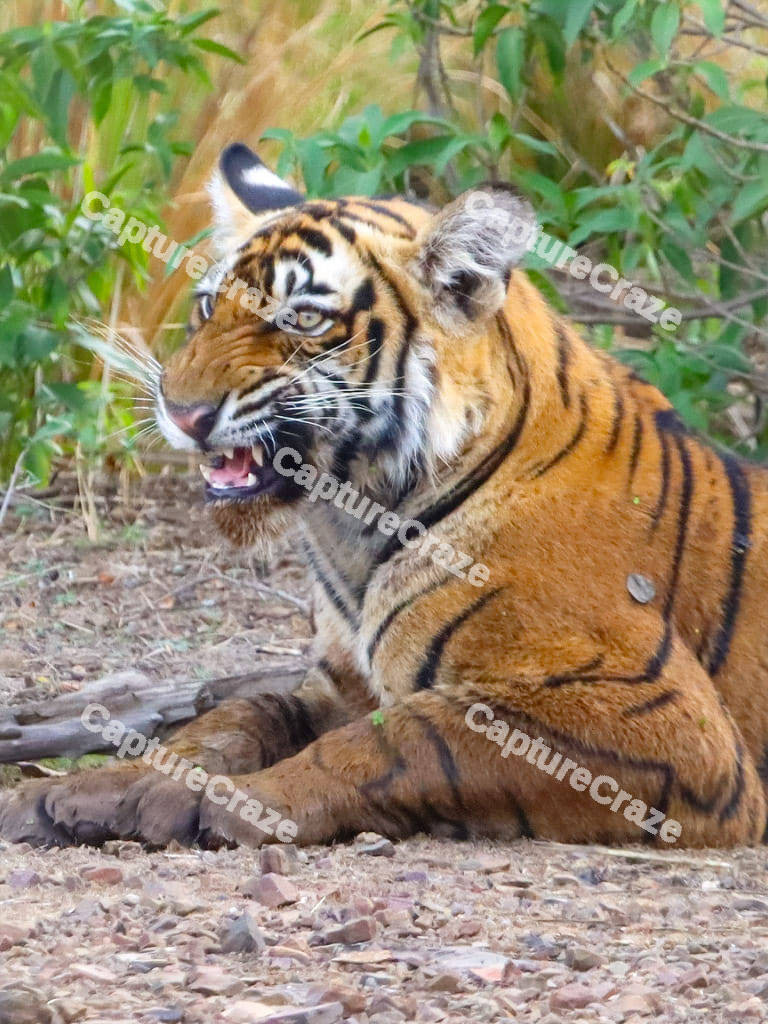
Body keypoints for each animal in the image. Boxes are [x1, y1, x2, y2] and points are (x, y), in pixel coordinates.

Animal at [2, 141, 767, 850]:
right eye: (208, 306)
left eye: (303, 320)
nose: (182, 412)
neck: (353, 522)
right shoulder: (340, 683)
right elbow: (241, 713)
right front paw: (98, 788)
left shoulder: (670, 724)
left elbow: (401, 739)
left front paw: (220, 804)